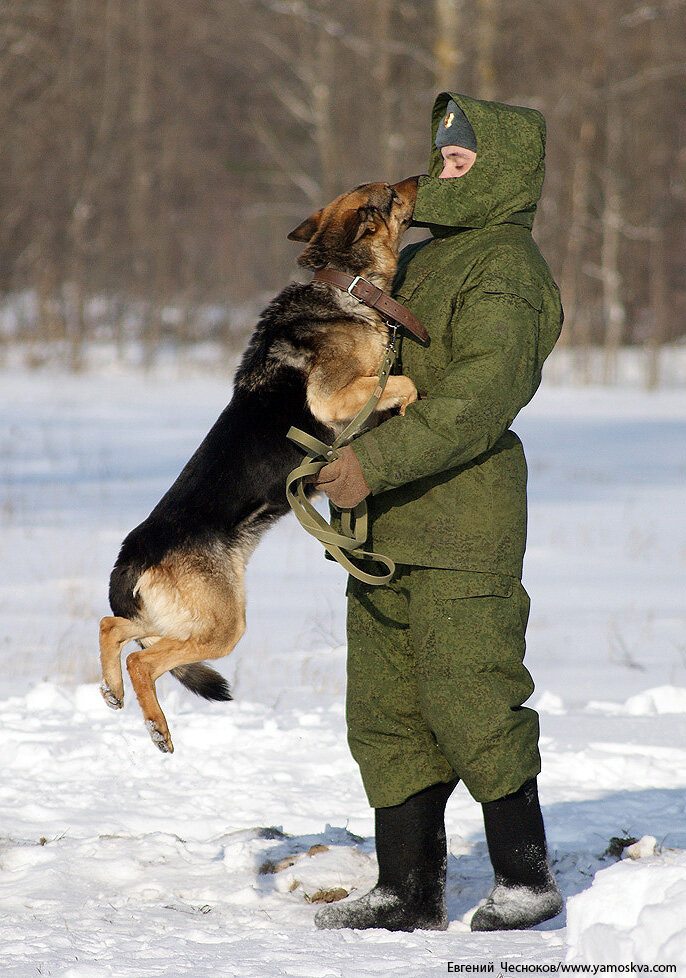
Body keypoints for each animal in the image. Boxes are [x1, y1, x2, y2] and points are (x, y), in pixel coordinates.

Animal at [97, 177, 420, 756]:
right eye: (390, 192)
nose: (422, 178)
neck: (345, 284)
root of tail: (132, 556)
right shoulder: (335, 398)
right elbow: (402, 384)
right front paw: (408, 406)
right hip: (223, 627)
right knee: (143, 661)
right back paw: (157, 726)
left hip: (185, 620)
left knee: (111, 627)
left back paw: (113, 691)